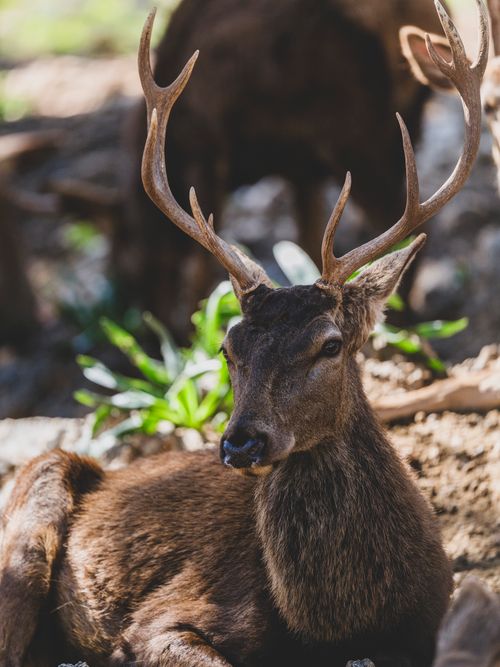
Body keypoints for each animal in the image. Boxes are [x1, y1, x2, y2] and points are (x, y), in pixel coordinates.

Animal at [118, 0, 449, 340]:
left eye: (125, 252)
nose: (147, 330)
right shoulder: (302, 170)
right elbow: (307, 241)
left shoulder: (208, 149)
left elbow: (202, 264)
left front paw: (193, 334)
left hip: (358, 137)